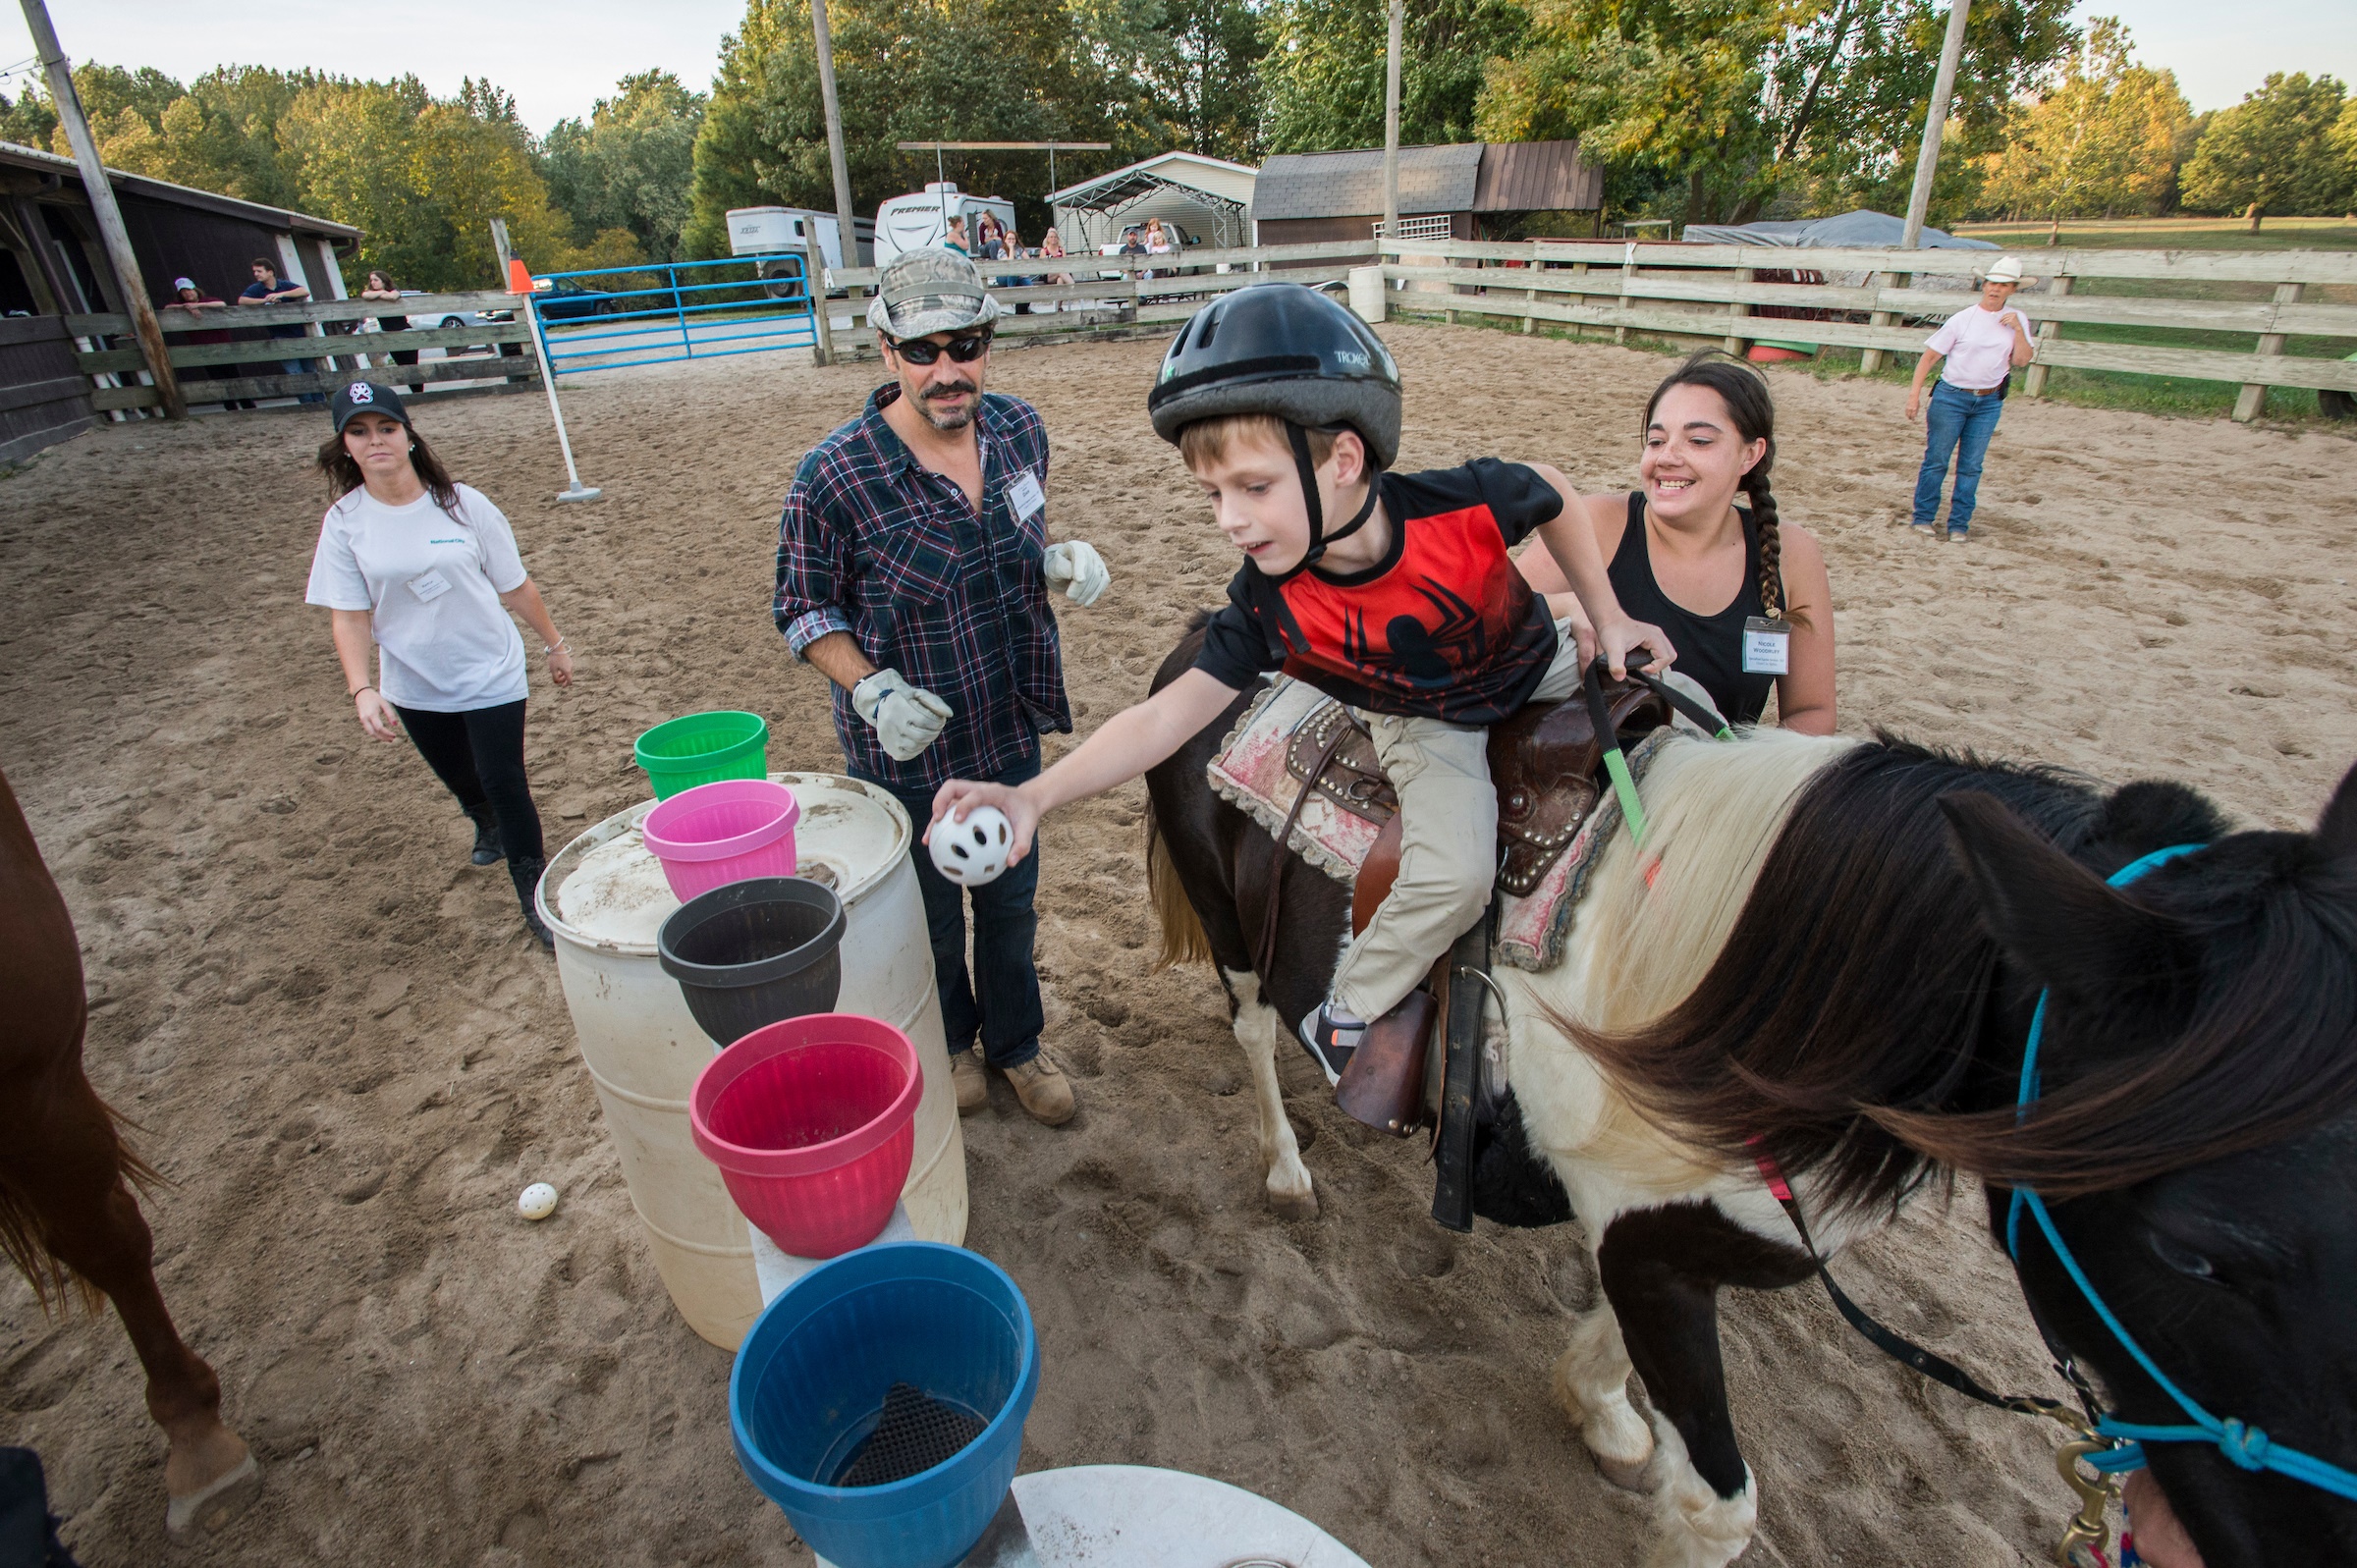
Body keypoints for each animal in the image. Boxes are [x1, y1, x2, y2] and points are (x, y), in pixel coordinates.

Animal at [1131, 626, 2347, 1565]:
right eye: (2196, 1248)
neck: (1728, 1004)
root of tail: (1199, 647)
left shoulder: (1674, 1232)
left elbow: (1621, 1350)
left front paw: (1607, 1416)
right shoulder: (1645, 1239)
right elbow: (1719, 1507)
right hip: (1232, 926)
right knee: (1253, 1028)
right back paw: (1289, 1168)